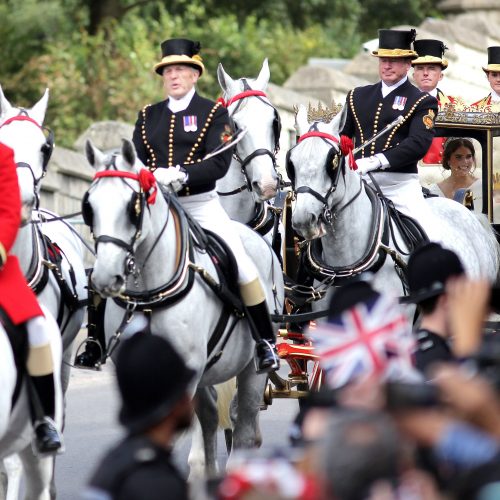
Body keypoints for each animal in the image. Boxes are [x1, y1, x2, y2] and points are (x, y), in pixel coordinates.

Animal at [84, 139, 284, 474]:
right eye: (90, 207)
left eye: (132, 206)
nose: (104, 277)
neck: (150, 292)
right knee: (210, 418)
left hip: (253, 372)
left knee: (242, 427)